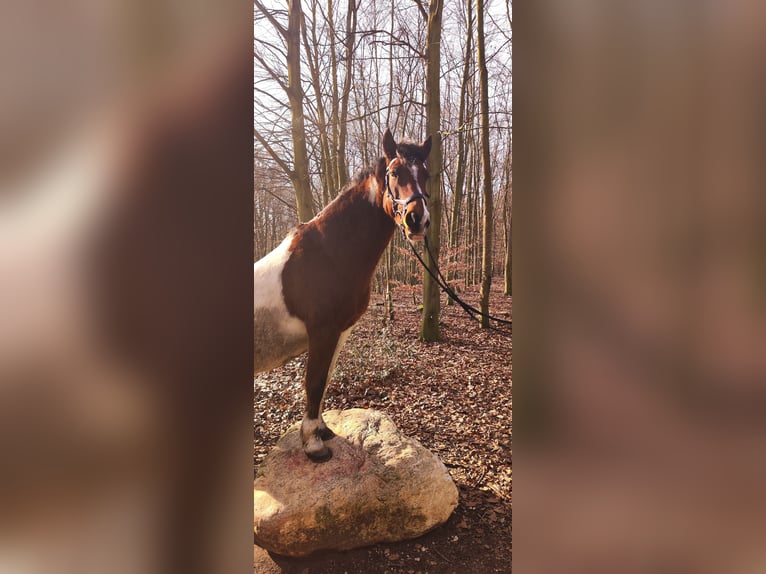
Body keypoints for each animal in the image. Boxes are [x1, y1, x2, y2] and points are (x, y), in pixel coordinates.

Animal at [256, 130, 432, 464]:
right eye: (394, 173)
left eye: (426, 175)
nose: (417, 220)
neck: (329, 253)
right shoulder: (322, 332)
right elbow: (313, 383)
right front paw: (313, 445)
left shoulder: (339, 332)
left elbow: (324, 381)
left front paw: (322, 430)